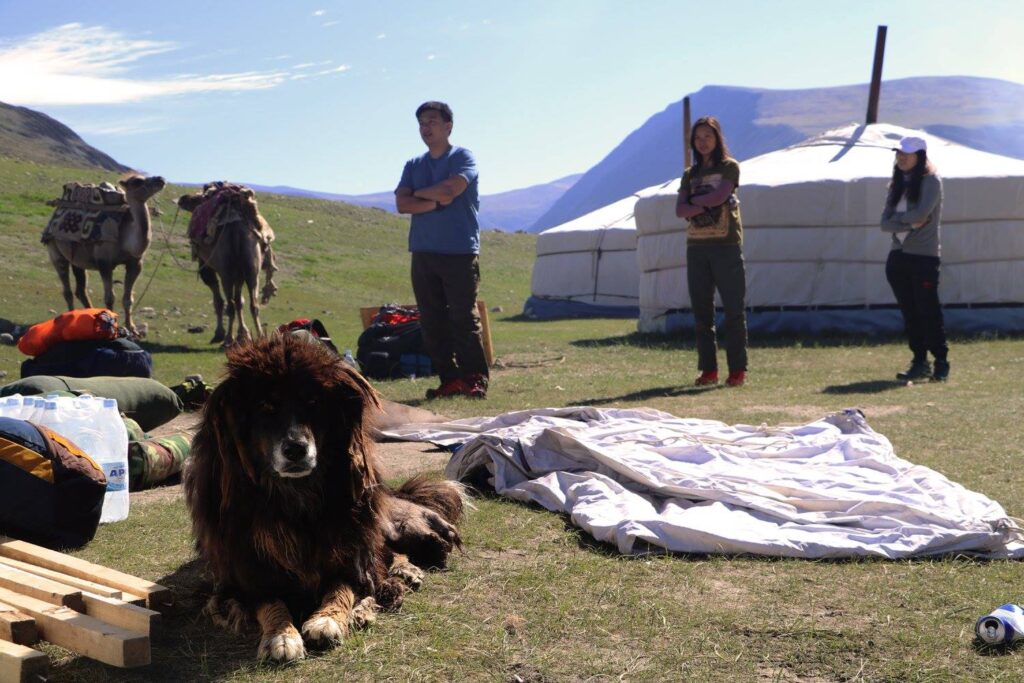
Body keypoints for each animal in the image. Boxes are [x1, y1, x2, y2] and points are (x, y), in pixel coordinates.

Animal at [45, 172, 165, 335]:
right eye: (137, 181)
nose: (161, 179)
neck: (125, 237)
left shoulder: (135, 263)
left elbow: (128, 298)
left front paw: (132, 328)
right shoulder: (104, 263)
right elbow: (110, 297)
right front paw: (114, 327)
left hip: (78, 260)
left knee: (80, 289)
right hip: (55, 250)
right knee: (67, 290)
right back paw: (68, 320)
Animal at [178, 184, 278, 348]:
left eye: (195, 199)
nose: (182, 198)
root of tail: (237, 228)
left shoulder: (207, 266)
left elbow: (219, 301)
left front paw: (219, 334)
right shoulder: (240, 273)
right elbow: (239, 302)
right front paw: (243, 335)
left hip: (226, 272)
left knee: (229, 305)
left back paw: (228, 340)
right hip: (251, 270)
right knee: (253, 304)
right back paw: (260, 337)